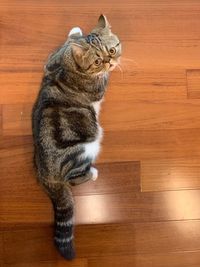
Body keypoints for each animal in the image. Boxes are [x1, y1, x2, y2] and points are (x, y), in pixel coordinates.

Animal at [32, 14, 121, 260]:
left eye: (112, 50)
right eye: (98, 61)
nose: (110, 62)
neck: (70, 66)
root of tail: (47, 176)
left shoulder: (51, 62)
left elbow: (65, 45)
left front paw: (75, 33)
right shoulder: (98, 86)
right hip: (84, 149)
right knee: (75, 178)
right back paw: (92, 173)